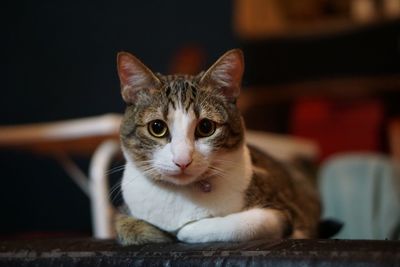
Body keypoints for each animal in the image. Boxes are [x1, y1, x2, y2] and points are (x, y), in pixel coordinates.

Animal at [114, 48, 320, 245]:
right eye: (157, 127)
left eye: (206, 127)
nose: (182, 160)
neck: (183, 194)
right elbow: (126, 226)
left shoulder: (284, 212)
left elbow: (233, 226)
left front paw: (186, 229)